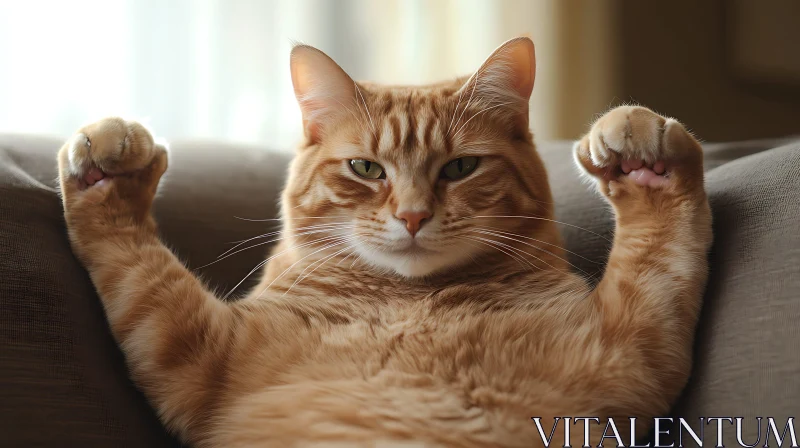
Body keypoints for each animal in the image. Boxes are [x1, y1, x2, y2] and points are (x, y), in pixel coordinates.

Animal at [59, 37, 716, 444]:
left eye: (460, 168)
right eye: (366, 169)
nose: (413, 216)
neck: (410, 304)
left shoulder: (632, 357)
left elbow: (662, 251)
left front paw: (642, 159)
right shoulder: (189, 351)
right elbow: (139, 267)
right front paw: (110, 167)